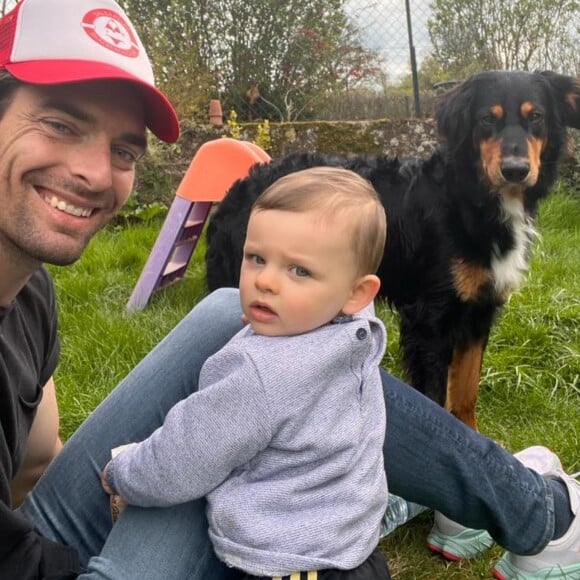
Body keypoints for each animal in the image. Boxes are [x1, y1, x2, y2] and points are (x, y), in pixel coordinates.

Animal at [205, 69, 580, 430]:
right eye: (488, 118)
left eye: (536, 117)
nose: (515, 170)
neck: (469, 198)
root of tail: (233, 192)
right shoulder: (430, 319)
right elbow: (436, 396)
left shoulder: (479, 310)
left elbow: (465, 395)